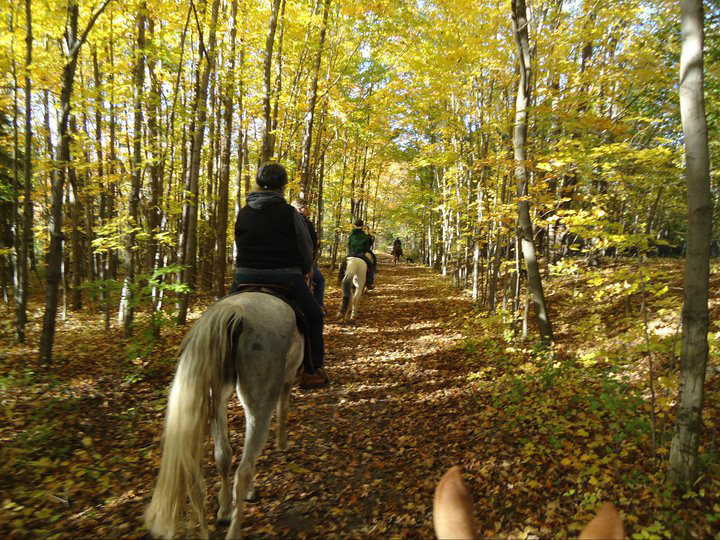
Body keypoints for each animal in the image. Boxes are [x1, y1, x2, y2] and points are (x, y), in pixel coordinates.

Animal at [145, 294, 302, 536]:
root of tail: (233, 312)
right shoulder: (289, 377)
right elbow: (283, 409)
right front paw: (282, 443)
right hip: (258, 403)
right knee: (243, 469)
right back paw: (234, 530)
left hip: (216, 399)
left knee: (223, 456)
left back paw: (225, 511)